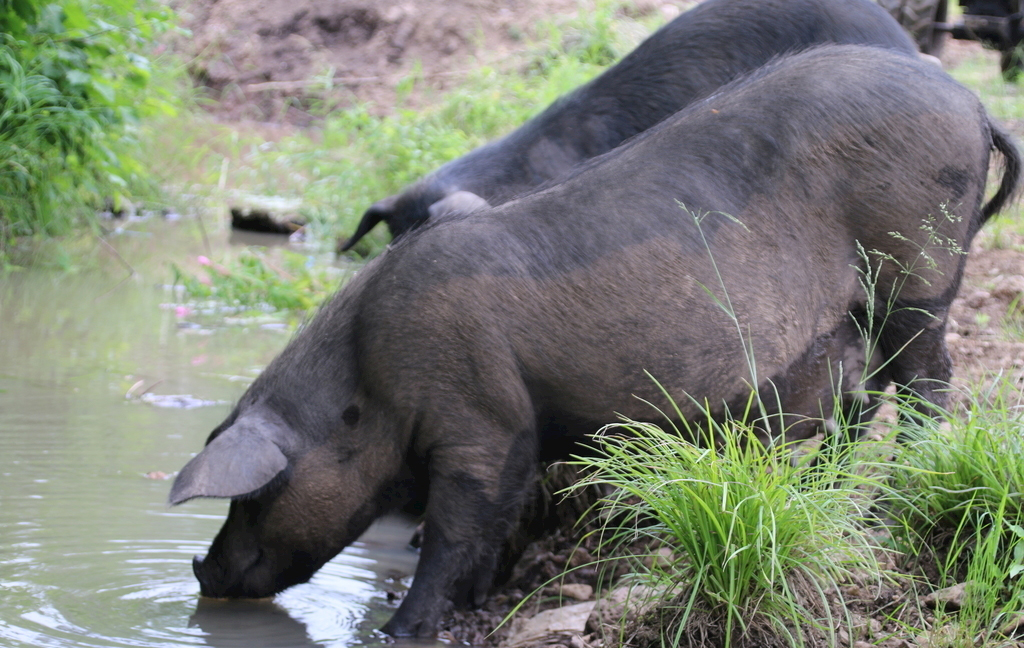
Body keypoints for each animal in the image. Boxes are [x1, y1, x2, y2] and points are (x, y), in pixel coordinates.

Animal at [169, 46, 1015, 638]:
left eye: (255, 496)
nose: (202, 572)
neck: (364, 385)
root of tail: (972, 102)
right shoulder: (510, 437)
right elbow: (494, 525)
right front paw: (477, 599)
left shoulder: (478, 413)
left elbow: (456, 527)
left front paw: (399, 630)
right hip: (855, 319)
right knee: (861, 400)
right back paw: (825, 490)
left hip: (917, 265)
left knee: (928, 379)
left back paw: (893, 491)